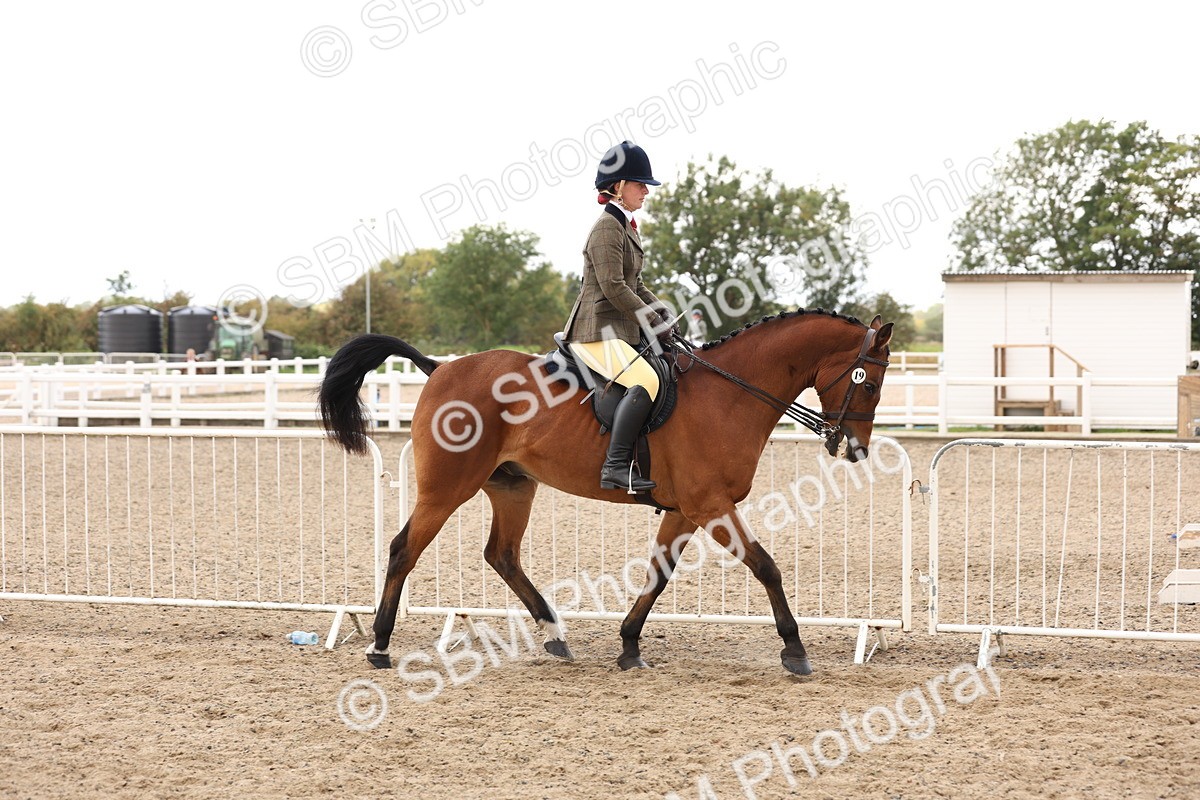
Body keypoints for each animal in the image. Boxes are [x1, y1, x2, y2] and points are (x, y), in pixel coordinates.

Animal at [318, 309, 893, 675]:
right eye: (867, 384)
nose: (855, 449)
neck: (730, 393)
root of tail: (440, 368)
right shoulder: (711, 506)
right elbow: (766, 566)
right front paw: (794, 649)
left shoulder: (685, 511)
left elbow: (657, 576)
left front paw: (630, 646)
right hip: (446, 489)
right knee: (404, 550)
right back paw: (380, 646)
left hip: (512, 487)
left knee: (502, 554)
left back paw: (555, 633)